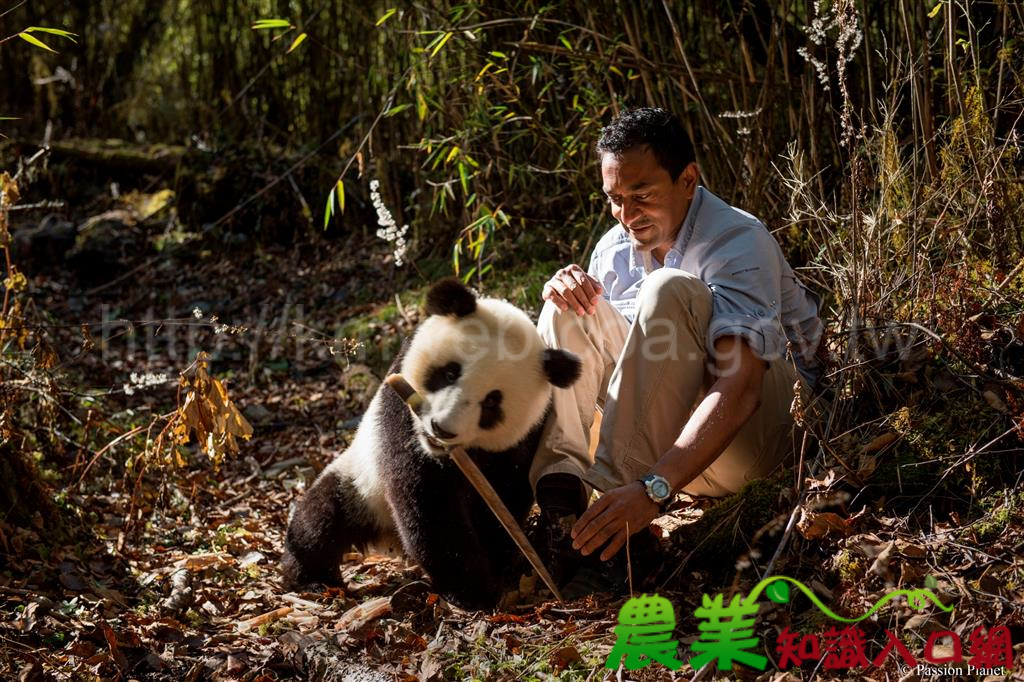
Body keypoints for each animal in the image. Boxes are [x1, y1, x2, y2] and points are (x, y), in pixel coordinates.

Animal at [280, 278, 581, 606]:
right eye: (449, 372)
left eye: (492, 403)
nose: (442, 429)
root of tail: (389, 538)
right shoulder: (400, 411)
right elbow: (429, 501)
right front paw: (473, 588)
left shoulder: (521, 439)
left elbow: (501, 498)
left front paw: (495, 570)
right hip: (361, 484)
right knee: (320, 519)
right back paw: (312, 579)